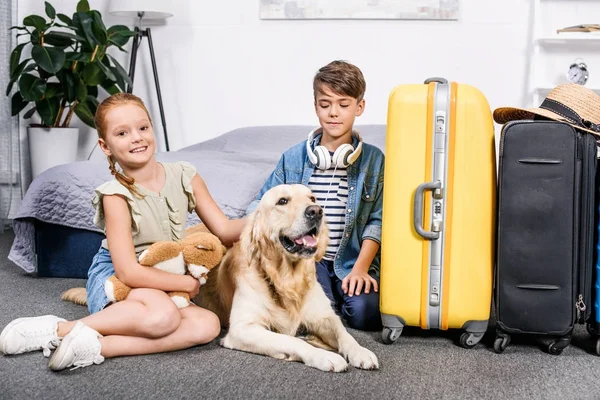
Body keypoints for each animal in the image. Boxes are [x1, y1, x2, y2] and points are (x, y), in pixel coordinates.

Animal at [195, 184, 378, 372]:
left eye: (312, 198)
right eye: (282, 201)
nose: (316, 211)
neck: (286, 280)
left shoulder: (324, 316)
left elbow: (343, 332)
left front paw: (360, 351)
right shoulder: (242, 328)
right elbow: (292, 340)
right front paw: (323, 356)